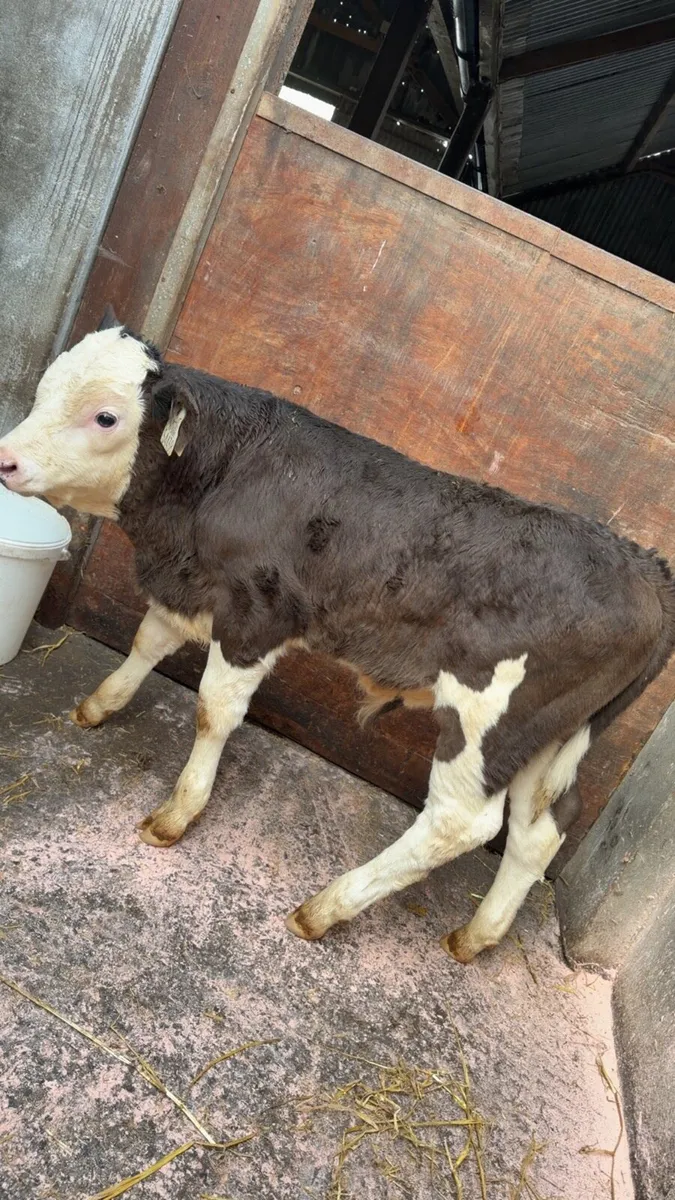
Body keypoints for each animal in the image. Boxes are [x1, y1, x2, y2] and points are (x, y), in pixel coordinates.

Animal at [1, 311, 673, 962]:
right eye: (45, 388)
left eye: (106, 416)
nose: (5, 458)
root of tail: (643, 566)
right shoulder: (191, 583)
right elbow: (147, 641)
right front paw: (98, 707)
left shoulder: (258, 612)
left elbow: (214, 711)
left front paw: (178, 812)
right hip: (548, 735)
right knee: (542, 828)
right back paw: (475, 937)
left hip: (489, 717)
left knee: (461, 822)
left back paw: (324, 909)